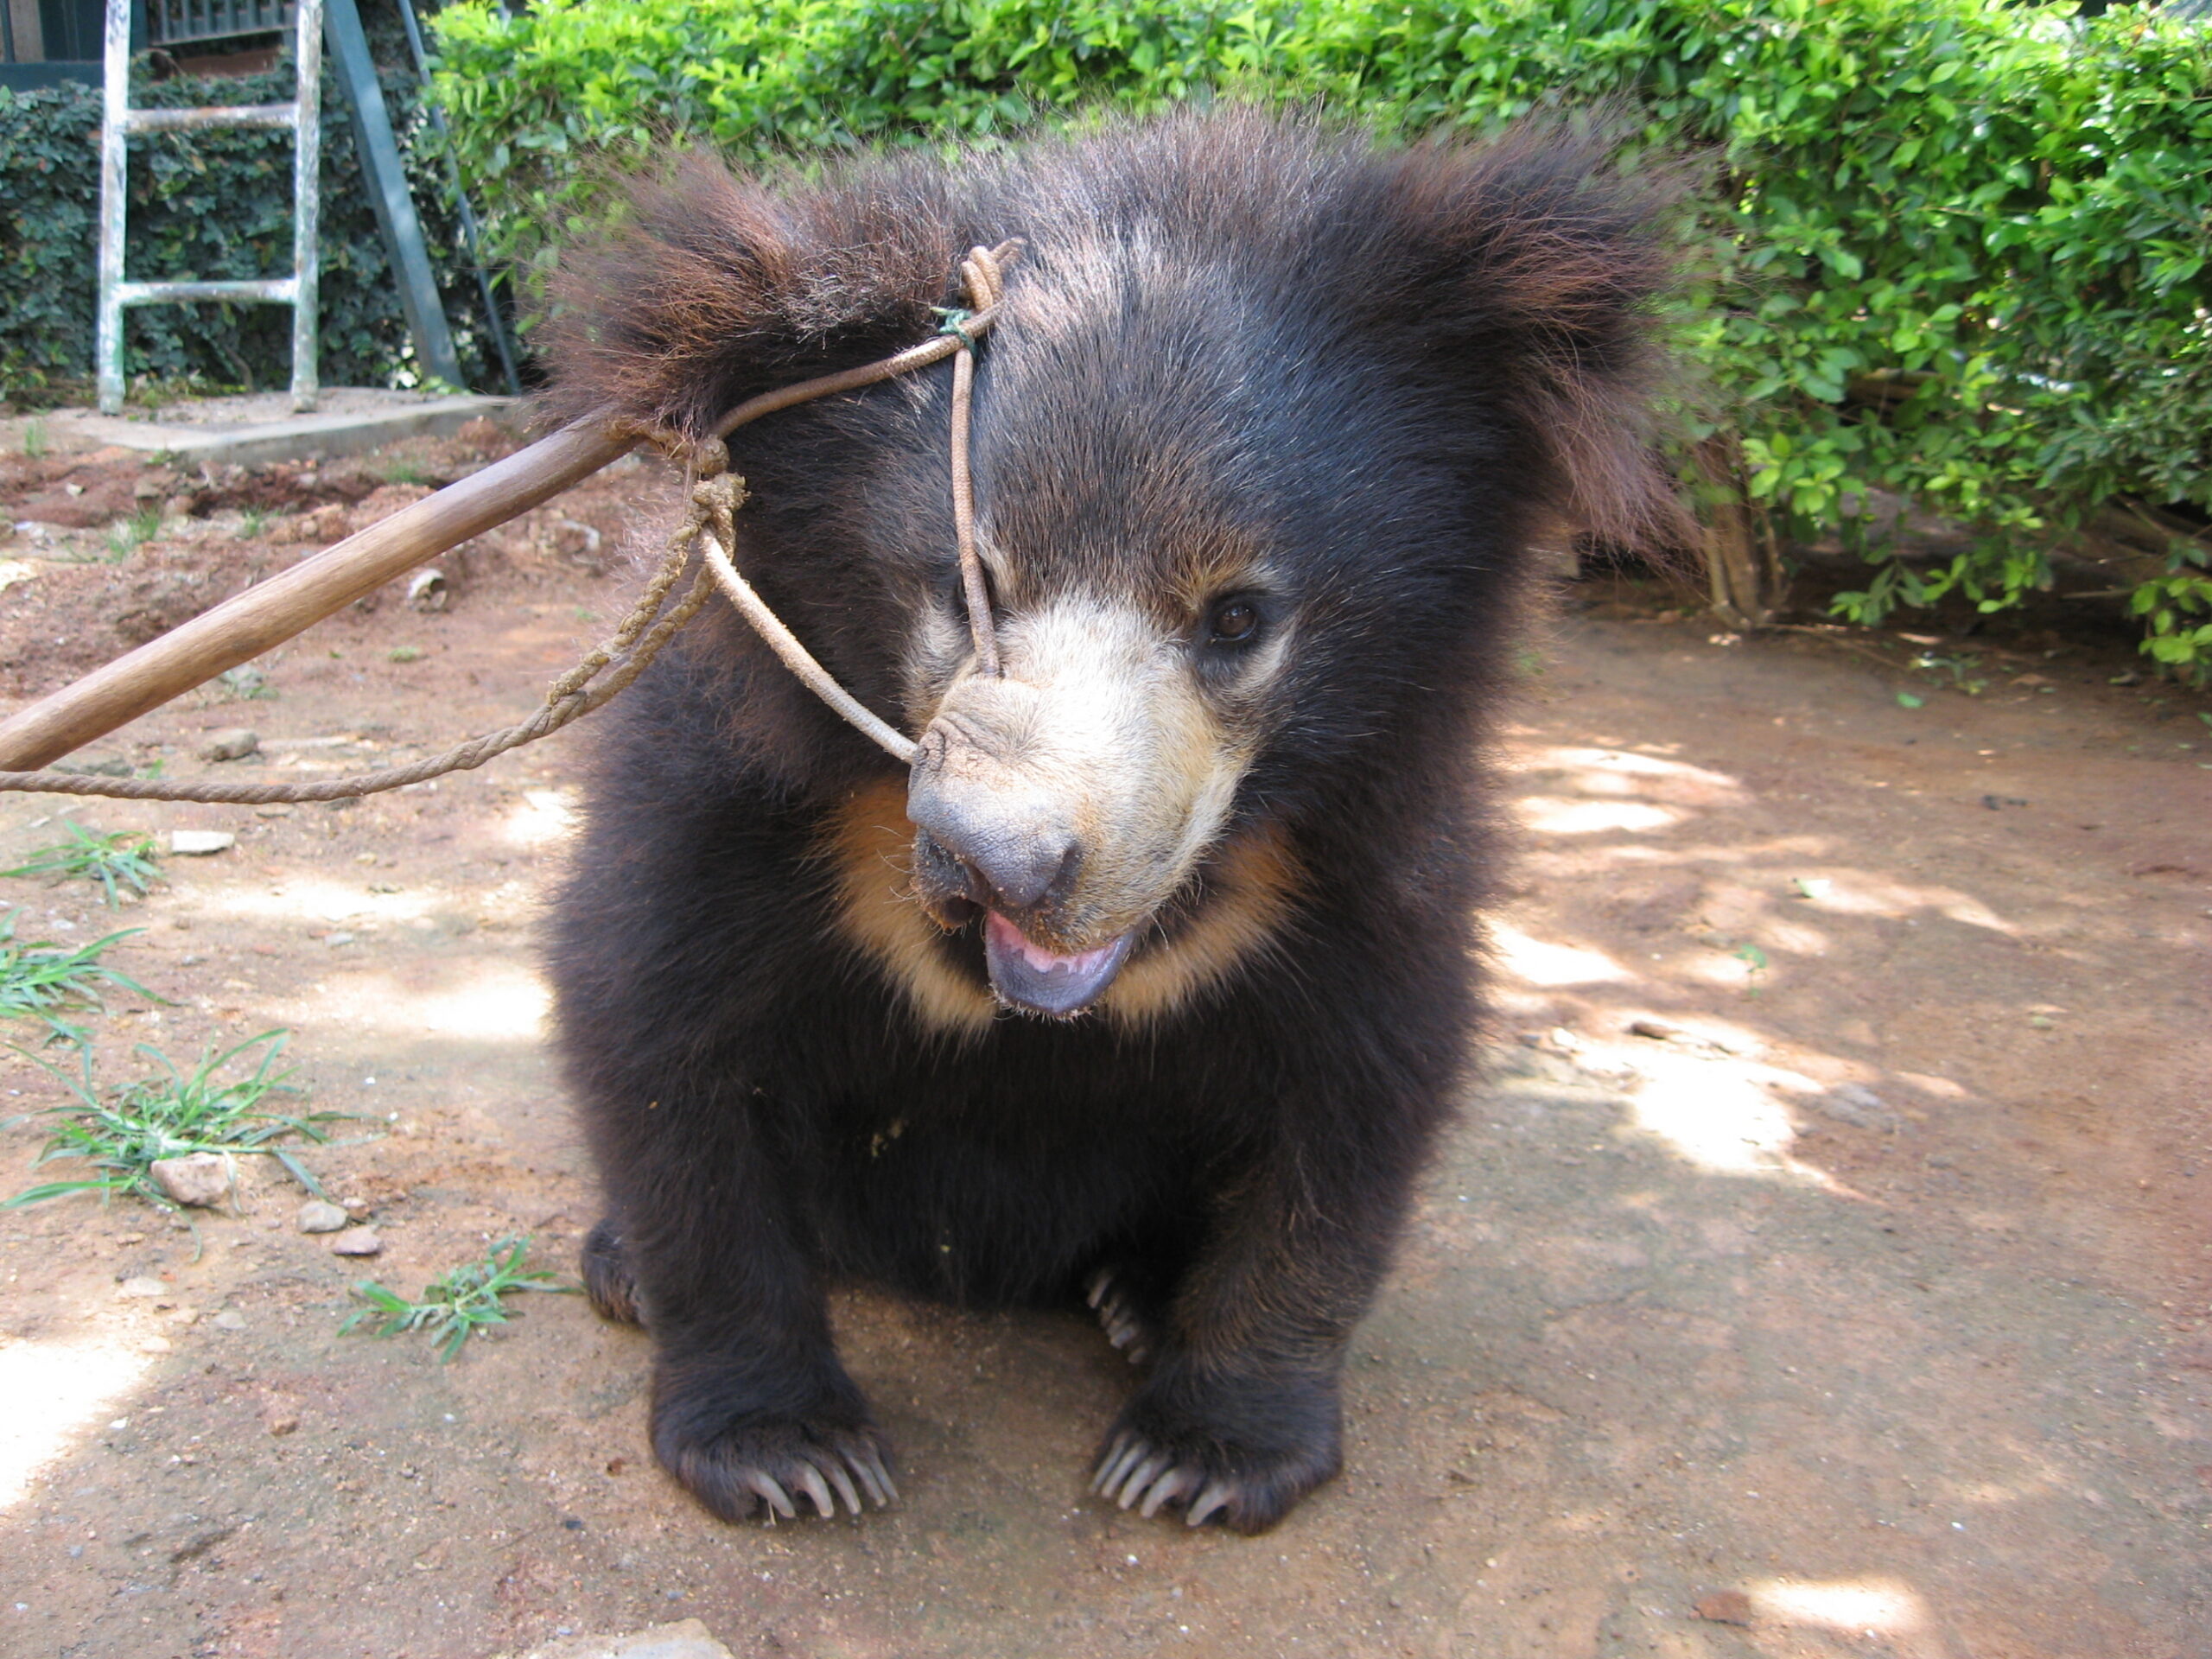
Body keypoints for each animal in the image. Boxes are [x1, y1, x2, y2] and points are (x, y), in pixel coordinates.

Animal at [541, 109, 1686, 1534]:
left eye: (1240, 616)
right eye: (964, 584)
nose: (1003, 863)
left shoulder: (1372, 840)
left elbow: (1360, 1089)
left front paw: (1201, 1455)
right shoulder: (730, 787)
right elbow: (658, 1027)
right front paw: (785, 1448)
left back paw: (1141, 1296)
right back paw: (618, 1267)